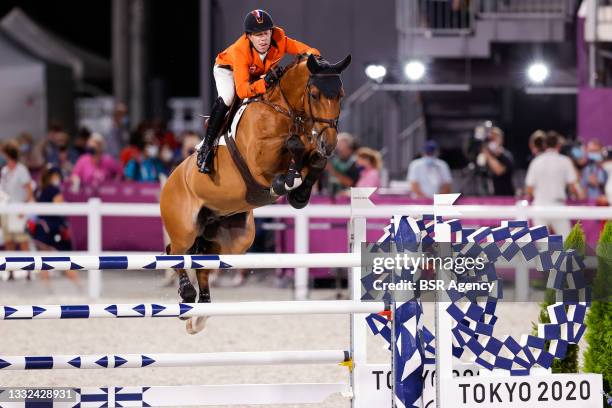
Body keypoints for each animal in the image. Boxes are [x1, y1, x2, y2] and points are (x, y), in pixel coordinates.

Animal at [159, 53, 350, 334]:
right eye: (314, 94)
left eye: (341, 94)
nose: (330, 143)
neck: (284, 110)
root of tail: (169, 180)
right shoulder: (260, 161)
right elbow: (293, 144)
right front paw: (286, 181)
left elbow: (313, 157)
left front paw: (299, 192)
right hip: (185, 227)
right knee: (173, 251)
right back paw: (186, 294)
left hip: (235, 238)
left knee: (203, 263)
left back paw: (201, 312)